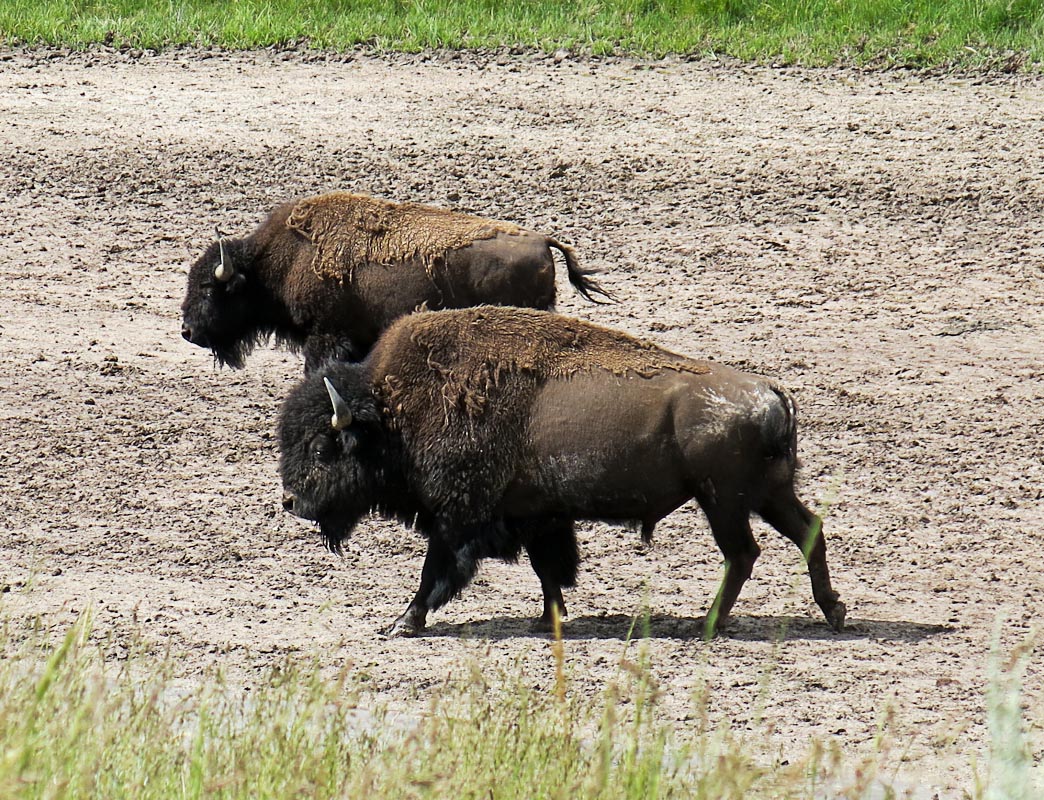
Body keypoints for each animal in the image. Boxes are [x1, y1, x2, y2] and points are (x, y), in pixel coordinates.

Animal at [277, 307, 847, 639]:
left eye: (324, 448)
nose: (291, 501)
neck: (394, 411)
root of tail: (771, 391)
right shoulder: (538, 516)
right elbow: (548, 570)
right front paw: (547, 618)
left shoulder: (457, 516)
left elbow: (436, 570)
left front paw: (402, 623)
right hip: (766, 493)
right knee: (808, 531)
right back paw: (832, 611)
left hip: (723, 500)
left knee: (743, 553)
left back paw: (705, 625)